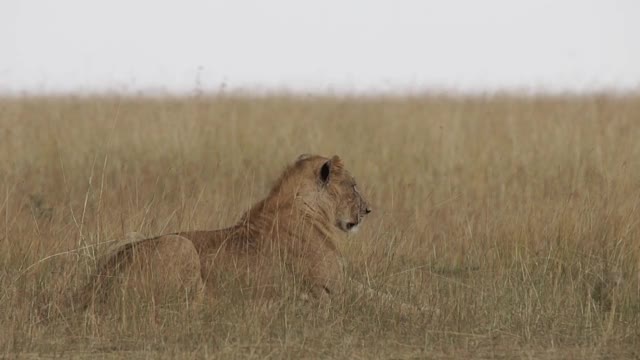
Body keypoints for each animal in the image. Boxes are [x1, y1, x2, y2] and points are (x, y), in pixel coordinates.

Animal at [70, 154, 422, 316]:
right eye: (353, 185)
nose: (368, 210)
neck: (310, 209)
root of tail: (90, 289)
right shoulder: (333, 287)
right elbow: (383, 300)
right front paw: (424, 310)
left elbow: (383, 295)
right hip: (180, 245)